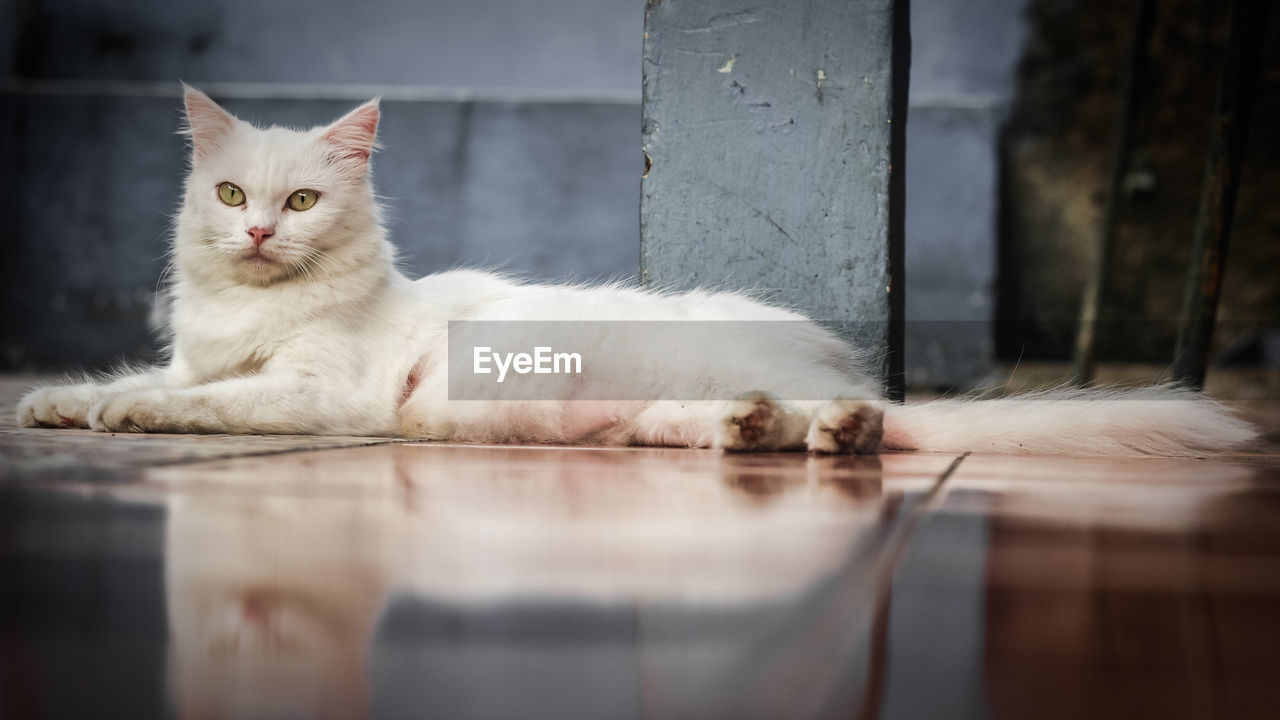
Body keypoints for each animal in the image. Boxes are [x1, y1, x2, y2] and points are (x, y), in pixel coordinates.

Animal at [17, 85, 1259, 453]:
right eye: (232, 198)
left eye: (303, 202)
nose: (261, 235)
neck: (250, 310)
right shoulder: (197, 357)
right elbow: (143, 378)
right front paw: (53, 403)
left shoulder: (322, 394)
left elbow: (206, 403)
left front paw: (123, 420)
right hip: (654, 411)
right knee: (742, 426)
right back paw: (758, 432)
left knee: (855, 421)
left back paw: (836, 433)